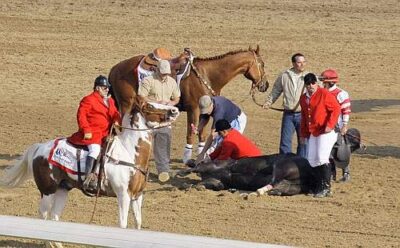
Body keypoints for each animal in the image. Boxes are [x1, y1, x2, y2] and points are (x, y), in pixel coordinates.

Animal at [0, 96, 178, 237]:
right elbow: (123, 225)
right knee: (44, 217)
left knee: (55, 217)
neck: (128, 152)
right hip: (47, 191)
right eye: (150, 106)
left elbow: (138, 224)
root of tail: (39, 147)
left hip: (62, 189)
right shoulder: (123, 195)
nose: (175, 110)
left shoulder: (137, 196)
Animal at [109, 46, 268, 163]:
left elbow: (202, 134)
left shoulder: (206, 112)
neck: (208, 75)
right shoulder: (194, 109)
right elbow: (191, 133)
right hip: (126, 104)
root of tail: (115, 68)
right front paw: (187, 158)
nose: (265, 85)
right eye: (262, 64)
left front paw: (201, 154)